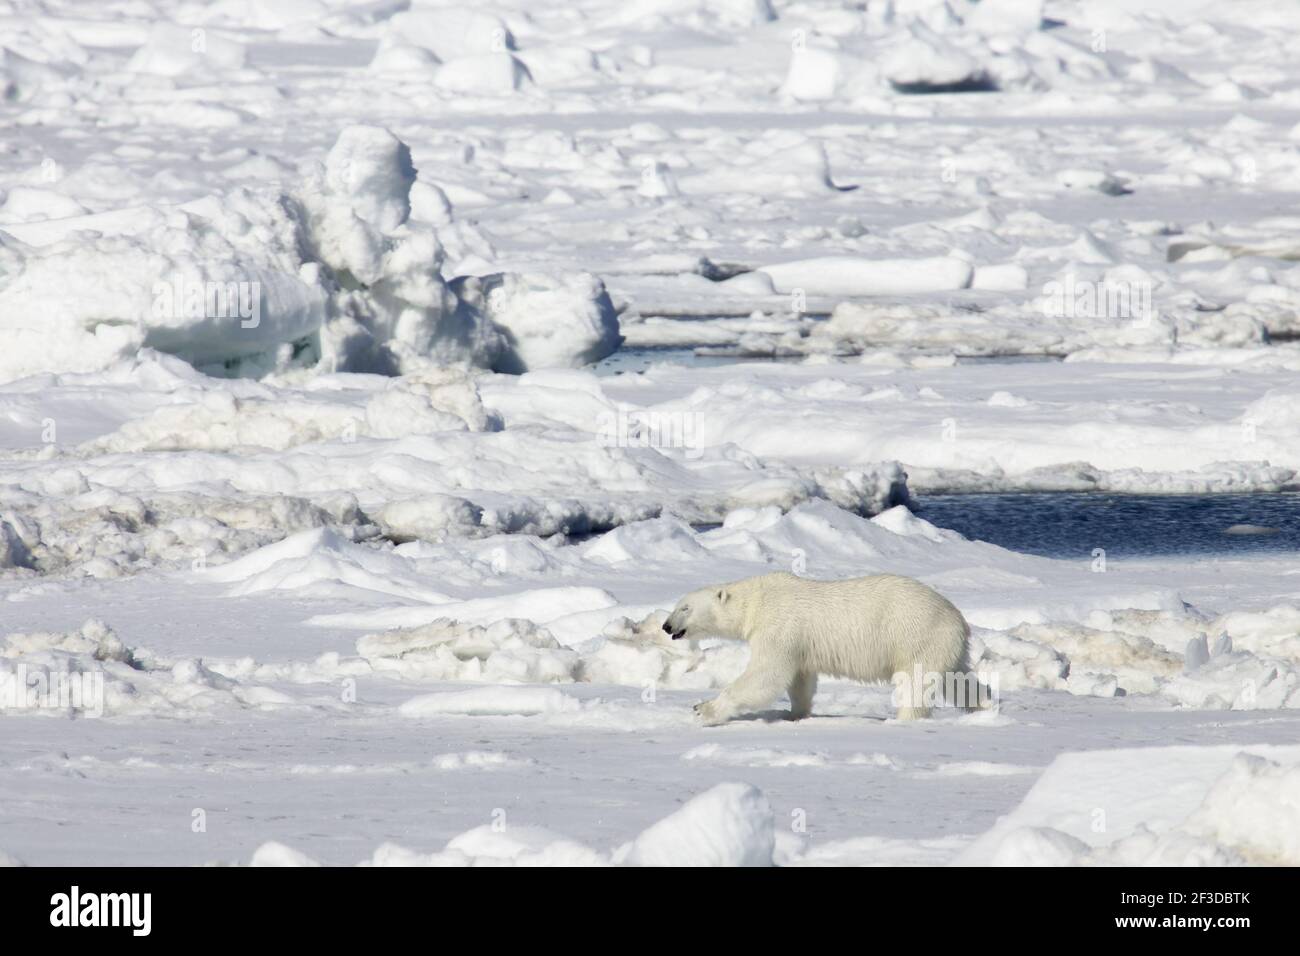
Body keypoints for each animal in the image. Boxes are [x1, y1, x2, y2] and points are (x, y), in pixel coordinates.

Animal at [661, 572, 987, 726]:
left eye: (685, 608)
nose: (666, 626)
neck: (757, 601)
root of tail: (958, 618)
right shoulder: (799, 642)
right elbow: (800, 679)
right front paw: (794, 714)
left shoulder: (778, 626)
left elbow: (766, 674)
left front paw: (704, 709)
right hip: (946, 646)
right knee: (959, 680)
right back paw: (984, 707)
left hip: (915, 636)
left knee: (915, 684)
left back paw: (904, 719)